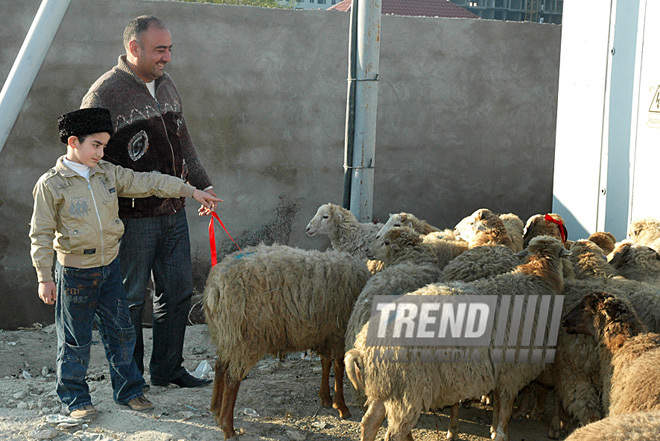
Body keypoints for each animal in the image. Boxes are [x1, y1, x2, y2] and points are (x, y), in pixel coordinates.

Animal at [204, 242, 372, 438]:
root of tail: (215, 287)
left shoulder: (325, 332)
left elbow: (326, 363)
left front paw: (325, 398)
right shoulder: (338, 331)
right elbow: (338, 368)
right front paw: (342, 407)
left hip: (227, 336)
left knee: (219, 367)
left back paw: (216, 410)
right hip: (245, 339)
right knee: (232, 378)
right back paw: (228, 427)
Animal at [346, 237, 568, 440]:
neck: (538, 277)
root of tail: (362, 348)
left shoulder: (500, 372)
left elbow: (498, 409)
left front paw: (493, 429)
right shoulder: (511, 373)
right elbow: (505, 412)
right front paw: (500, 433)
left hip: (385, 387)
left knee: (369, 422)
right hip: (408, 391)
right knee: (394, 434)